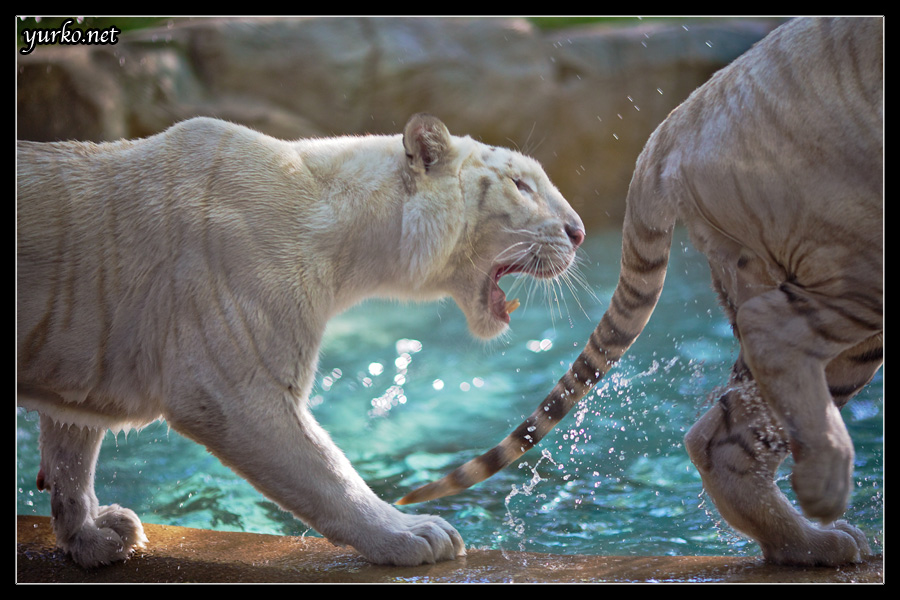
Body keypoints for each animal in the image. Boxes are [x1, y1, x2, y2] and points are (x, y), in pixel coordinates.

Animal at [17, 113, 588, 568]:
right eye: (521, 184)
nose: (579, 231)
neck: (345, 239)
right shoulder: (235, 387)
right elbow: (327, 472)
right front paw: (414, 534)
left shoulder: (82, 362)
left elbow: (71, 453)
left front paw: (92, 536)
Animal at [398, 15, 884, 568]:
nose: (576, 232)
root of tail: (676, 121)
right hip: (853, 246)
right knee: (770, 338)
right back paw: (826, 504)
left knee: (725, 430)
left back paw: (811, 542)